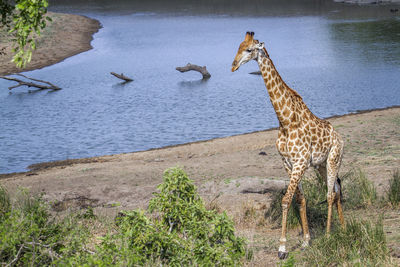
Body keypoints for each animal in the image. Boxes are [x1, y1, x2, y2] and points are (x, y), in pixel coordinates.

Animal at [231, 31, 344, 260]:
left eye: (249, 49)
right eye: (237, 47)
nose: (233, 65)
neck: (285, 120)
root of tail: (340, 137)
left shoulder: (300, 163)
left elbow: (285, 200)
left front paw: (282, 248)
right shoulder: (288, 163)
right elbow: (300, 200)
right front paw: (306, 241)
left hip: (333, 159)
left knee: (329, 194)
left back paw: (329, 235)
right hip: (321, 165)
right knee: (336, 190)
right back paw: (344, 228)